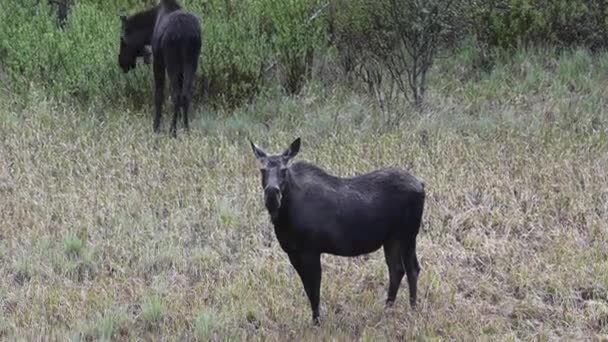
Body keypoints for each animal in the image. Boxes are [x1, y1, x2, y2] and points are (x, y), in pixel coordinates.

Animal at [119, 0, 202, 136]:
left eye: (122, 39)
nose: (121, 62)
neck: (149, 31)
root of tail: (185, 34)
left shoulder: (158, 62)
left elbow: (158, 95)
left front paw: (156, 127)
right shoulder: (181, 68)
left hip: (172, 61)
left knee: (176, 95)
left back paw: (172, 131)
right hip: (192, 61)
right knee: (185, 94)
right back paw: (186, 129)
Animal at [249, 138, 426, 324]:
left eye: (284, 170)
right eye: (262, 169)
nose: (271, 194)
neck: (284, 217)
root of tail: (421, 185)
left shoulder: (310, 251)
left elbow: (314, 290)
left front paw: (317, 322)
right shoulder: (293, 253)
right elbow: (309, 289)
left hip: (408, 234)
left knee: (412, 268)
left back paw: (413, 310)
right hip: (391, 238)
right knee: (396, 269)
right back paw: (387, 309)